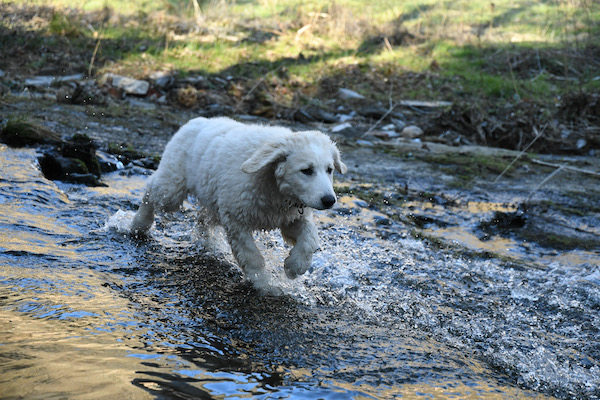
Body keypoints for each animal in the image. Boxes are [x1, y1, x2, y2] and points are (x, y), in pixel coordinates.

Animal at [131, 117, 346, 282]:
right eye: (306, 170)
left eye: (329, 169)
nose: (329, 200)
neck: (277, 189)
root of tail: (195, 121)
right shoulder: (236, 219)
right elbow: (251, 256)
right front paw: (264, 284)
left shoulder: (290, 216)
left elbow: (310, 237)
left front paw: (295, 266)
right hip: (172, 188)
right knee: (151, 190)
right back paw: (138, 225)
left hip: (213, 198)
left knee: (203, 218)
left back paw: (208, 243)